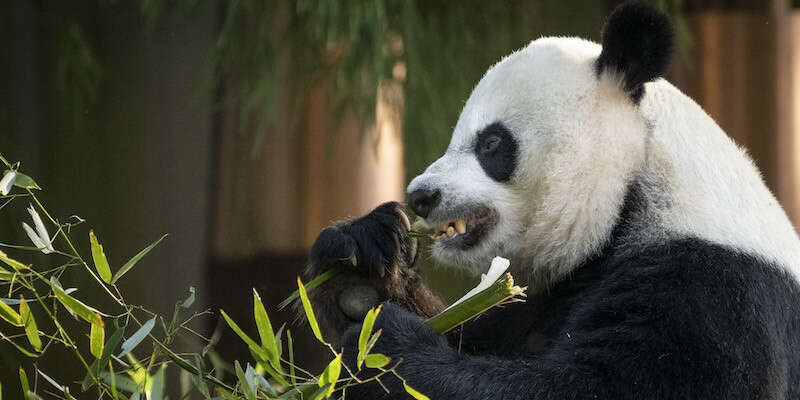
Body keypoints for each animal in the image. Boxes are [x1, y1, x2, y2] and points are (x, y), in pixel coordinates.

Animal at [298, 1, 800, 398]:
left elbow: (599, 385)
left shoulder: (716, 292)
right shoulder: (550, 297)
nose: (421, 196)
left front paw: (387, 347)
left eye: (491, 143)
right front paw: (359, 271)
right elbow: (473, 331)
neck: (639, 177)